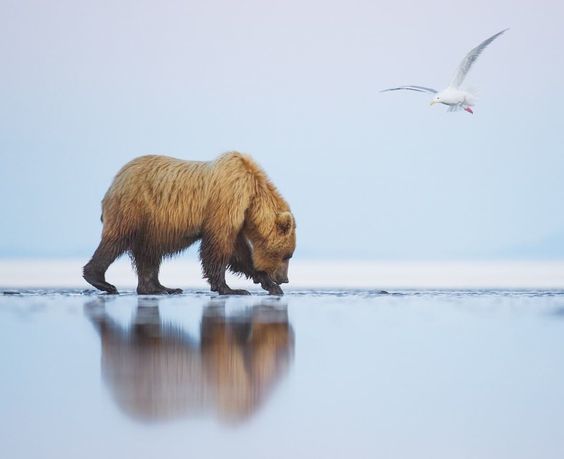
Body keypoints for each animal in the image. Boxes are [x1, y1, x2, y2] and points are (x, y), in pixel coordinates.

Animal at [83, 153, 298, 296]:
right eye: (287, 255)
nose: (285, 279)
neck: (252, 195)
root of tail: (115, 180)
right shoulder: (226, 203)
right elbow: (219, 247)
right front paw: (231, 288)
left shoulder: (237, 216)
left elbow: (240, 254)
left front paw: (270, 285)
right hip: (134, 208)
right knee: (116, 241)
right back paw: (102, 281)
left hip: (152, 225)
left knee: (149, 254)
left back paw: (161, 288)